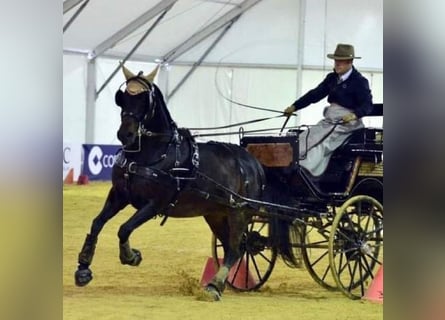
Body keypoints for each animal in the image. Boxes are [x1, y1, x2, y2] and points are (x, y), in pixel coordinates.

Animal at [74, 64, 266, 300]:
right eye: (123, 97)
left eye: (145, 100)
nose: (125, 134)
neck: (151, 153)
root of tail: (253, 162)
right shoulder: (119, 194)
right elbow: (97, 223)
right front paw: (83, 268)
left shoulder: (155, 203)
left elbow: (124, 228)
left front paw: (131, 256)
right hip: (216, 213)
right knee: (233, 246)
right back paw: (217, 284)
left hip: (238, 212)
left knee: (236, 247)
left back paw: (214, 285)